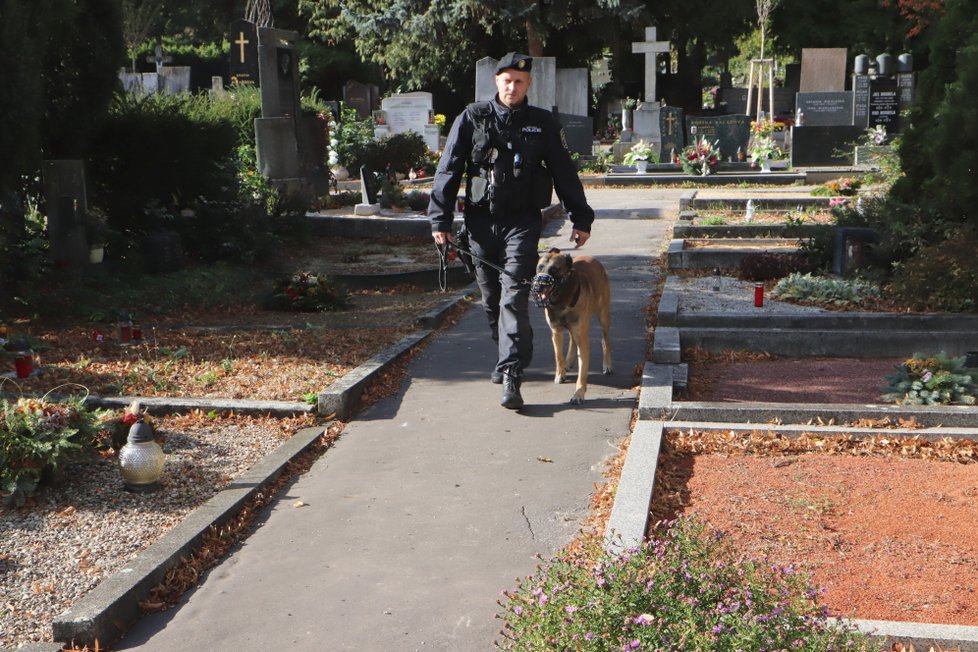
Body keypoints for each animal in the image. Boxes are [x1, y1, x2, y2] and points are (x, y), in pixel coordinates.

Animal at [532, 248, 608, 404]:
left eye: (554, 270)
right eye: (540, 267)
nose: (538, 287)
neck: (562, 299)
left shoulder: (584, 340)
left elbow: (583, 370)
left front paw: (579, 393)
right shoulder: (556, 332)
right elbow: (558, 356)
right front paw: (560, 373)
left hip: (603, 316)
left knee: (605, 341)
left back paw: (607, 365)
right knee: (573, 340)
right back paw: (569, 361)